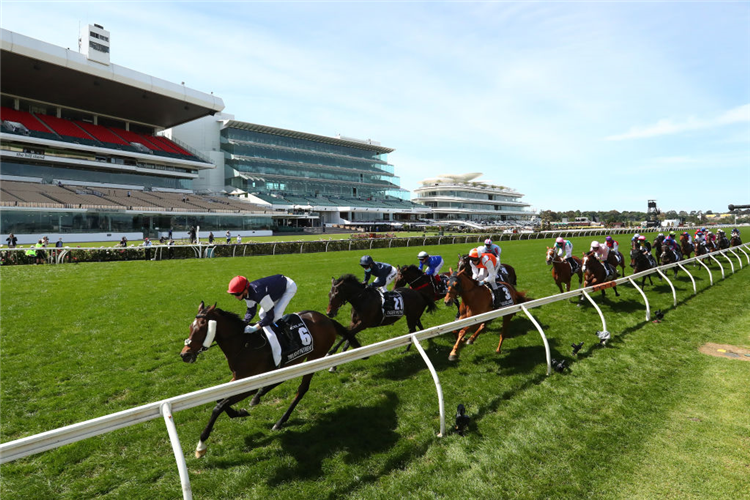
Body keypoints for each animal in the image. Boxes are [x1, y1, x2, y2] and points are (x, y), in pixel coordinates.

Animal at [179, 300, 356, 458]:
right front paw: (239, 412)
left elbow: (219, 407)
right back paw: (259, 396)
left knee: (302, 389)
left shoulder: (248, 385)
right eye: (190, 327)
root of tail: (327, 319)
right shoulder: (238, 378)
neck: (243, 343)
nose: (184, 355)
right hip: (294, 361)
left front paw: (201, 445)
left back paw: (280, 421)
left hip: (315, 357)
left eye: (202, 327)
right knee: (280, 380)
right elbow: (219, 400)